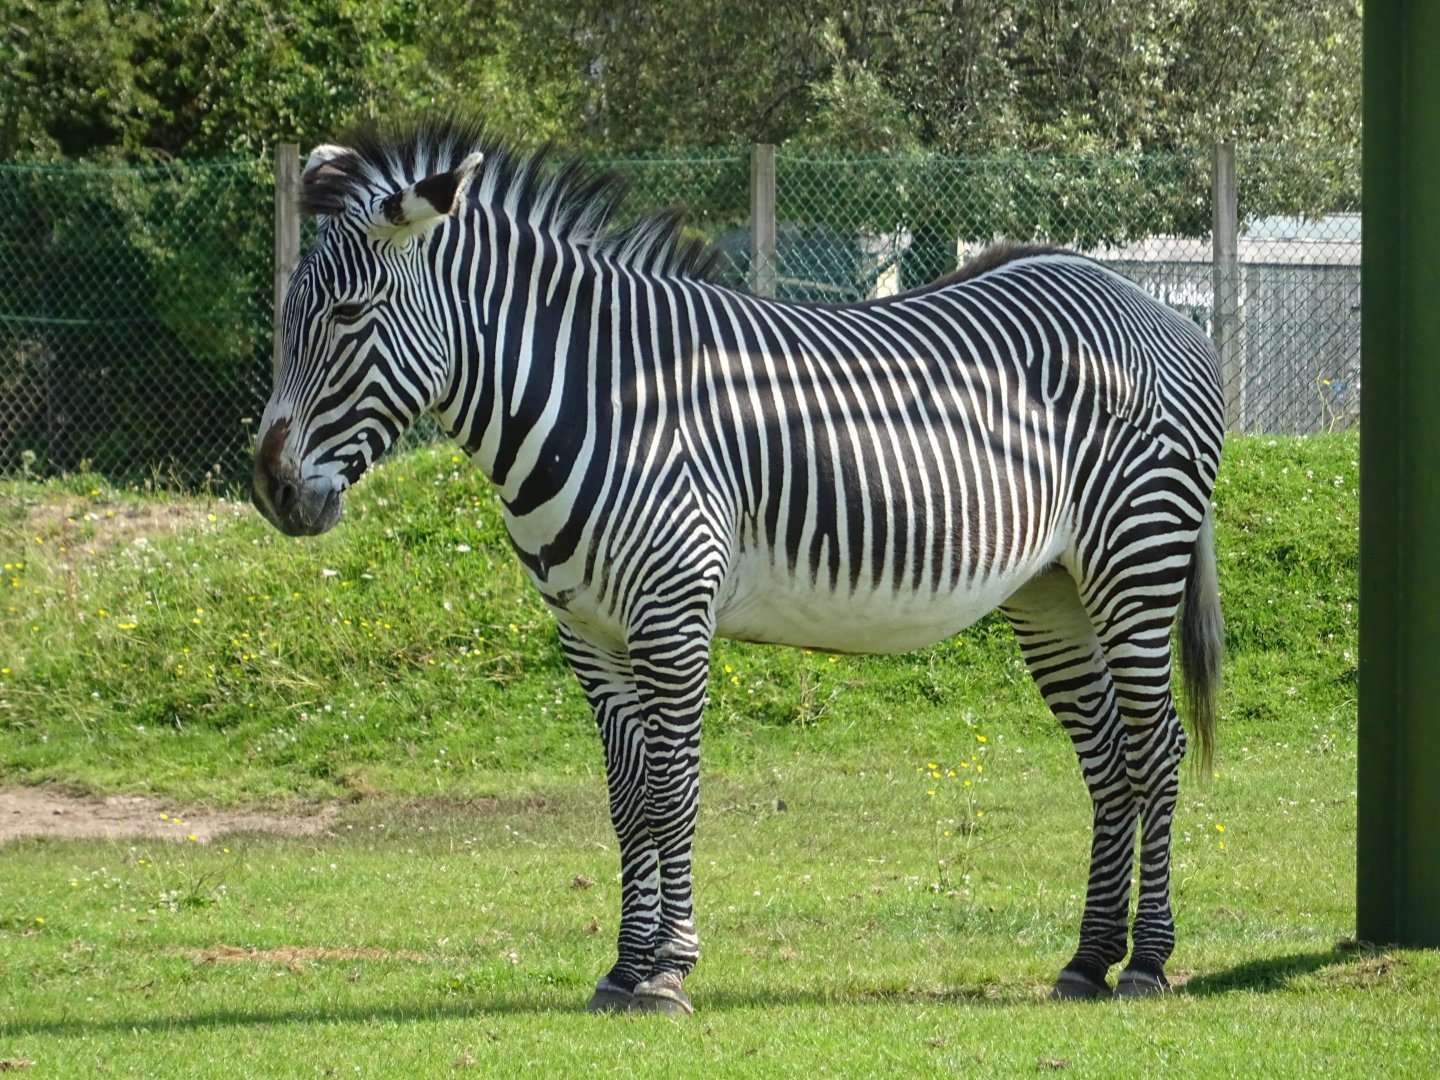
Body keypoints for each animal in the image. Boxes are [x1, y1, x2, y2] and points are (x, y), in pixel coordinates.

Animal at [252, 120, 1224, 1014]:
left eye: (346, 317)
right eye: (286, 317)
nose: (271, 490)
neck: (603, 399)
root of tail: (1144, 299)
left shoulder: (672, 614)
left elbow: (674, 791)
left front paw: (668, 972)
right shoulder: (587, 634)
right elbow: (628, 801)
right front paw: (622, 969)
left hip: (1137, 562)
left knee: (1157, 748)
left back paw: (1146, 962)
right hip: (1052, 592)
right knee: (1108, 759)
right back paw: (1088, 960)